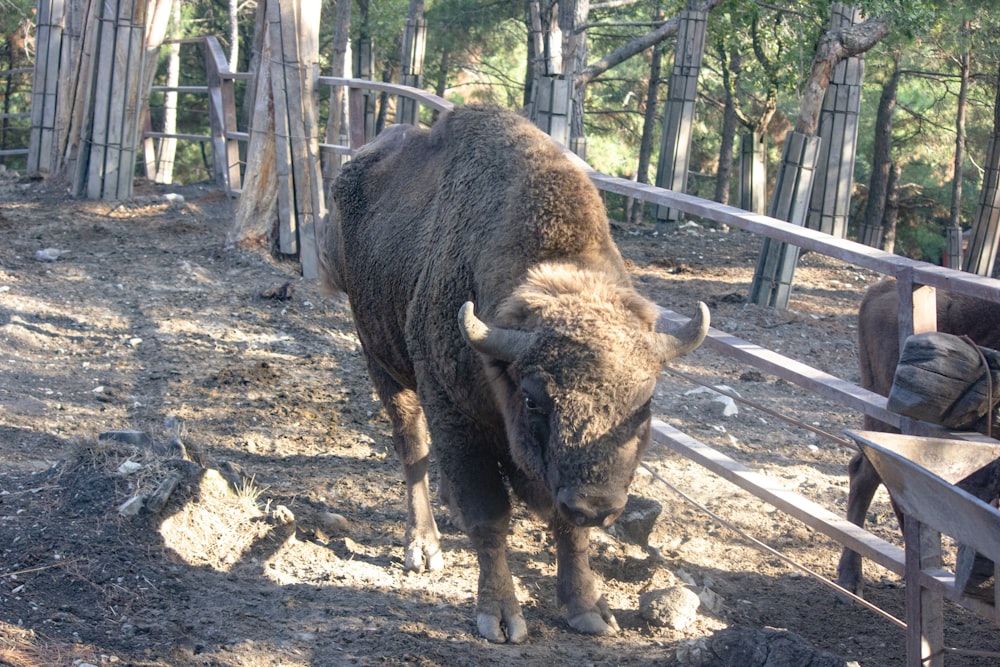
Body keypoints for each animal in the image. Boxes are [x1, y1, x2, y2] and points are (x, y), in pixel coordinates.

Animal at [322, 107, 712, 644]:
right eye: (532, 398)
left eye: (646, 401)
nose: (597, 503)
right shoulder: (453, 409)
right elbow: (490, 517)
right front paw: (501, 616)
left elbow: (569, 530)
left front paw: (588, 609)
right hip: (380, 358)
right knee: (412, 447)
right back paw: (423, 547)